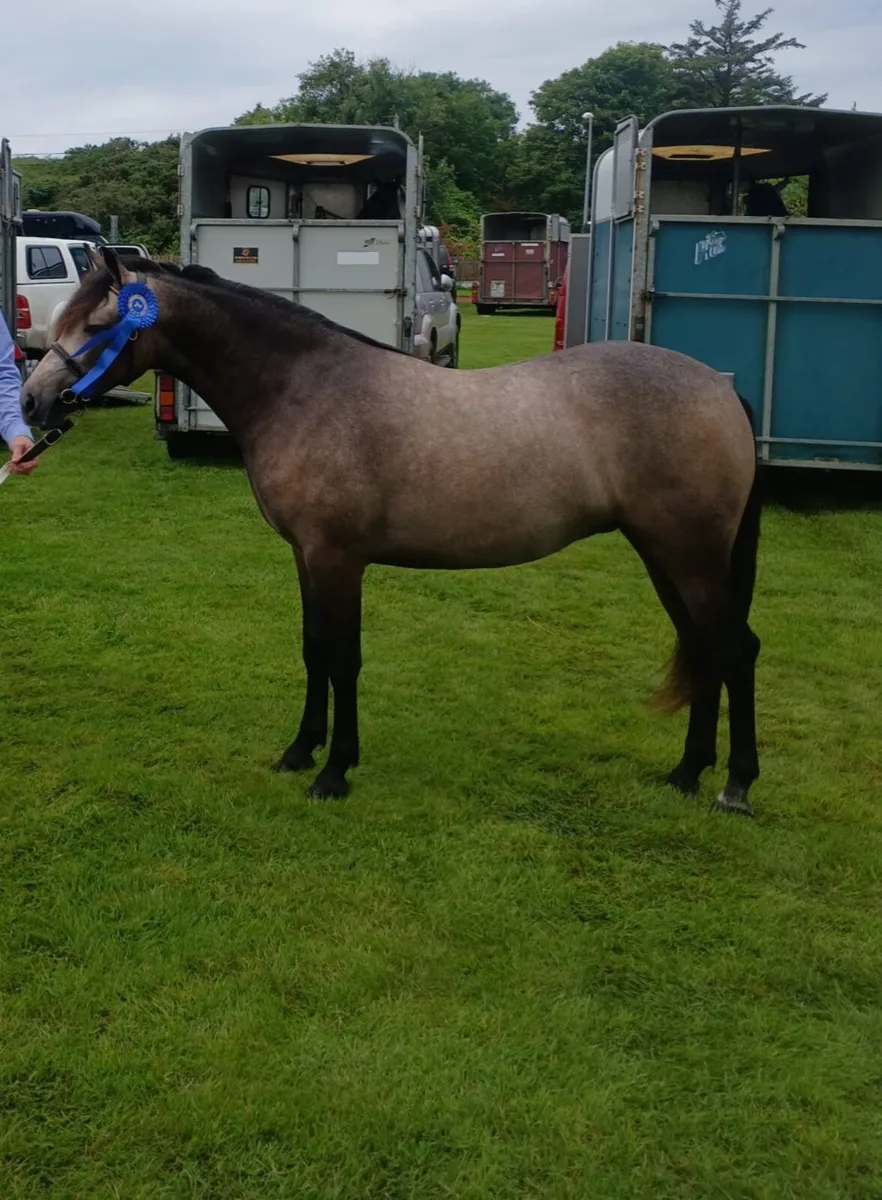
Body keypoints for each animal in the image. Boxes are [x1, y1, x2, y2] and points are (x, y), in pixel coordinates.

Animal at [22, 248, 763, 816]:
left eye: (101, 322)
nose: (32, 401)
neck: (305, 391)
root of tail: (720, 388)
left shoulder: (338, 559)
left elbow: (343, 658)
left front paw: (333, 772)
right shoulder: (307, 557)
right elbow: (313, 651)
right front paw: (299, 752)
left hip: (690, 555)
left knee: (734, 649)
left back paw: (734, 787)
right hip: (664, 554)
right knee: (705, 649)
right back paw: (685, 774)